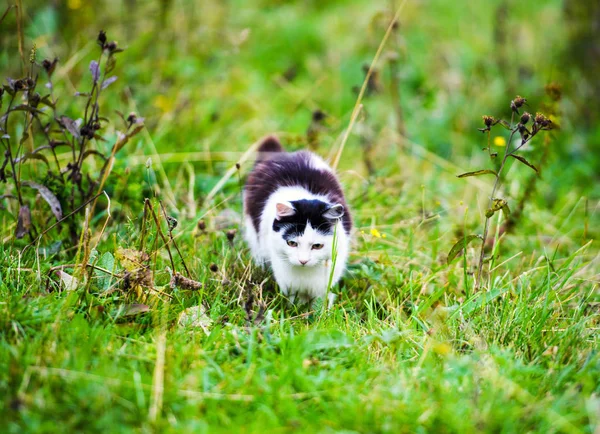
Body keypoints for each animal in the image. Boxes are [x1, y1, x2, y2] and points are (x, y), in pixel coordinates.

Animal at [241, 136, 350, 306]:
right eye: (292, 243)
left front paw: (320, 312)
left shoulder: (325, 282)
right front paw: (296, 310)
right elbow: (295, 302)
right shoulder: (288, 281)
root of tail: (282, 154)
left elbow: (321, 303)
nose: (303, 261)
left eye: (317, 246)